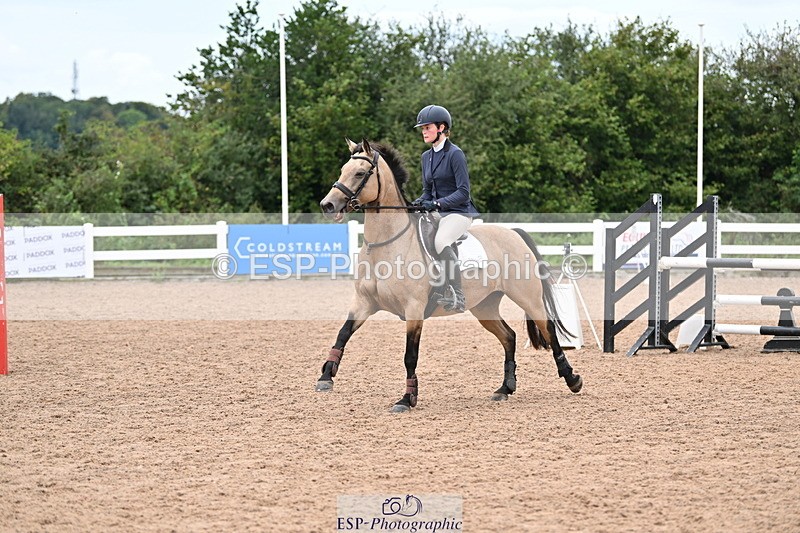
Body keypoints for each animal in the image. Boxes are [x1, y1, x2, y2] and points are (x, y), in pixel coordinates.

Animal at [317, 138, 583, 412]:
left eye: (360, 173)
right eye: (342, 170)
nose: (328, 205)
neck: (387, 245)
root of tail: (513, 233)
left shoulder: (414, 309)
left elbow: (410, 356)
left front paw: (407, 399)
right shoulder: (364, 302)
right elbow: (342, 334)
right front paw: (326, 376)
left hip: (527, 298)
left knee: (548, 329)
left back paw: (572, 379)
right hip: (484, 306)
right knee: (509, 336)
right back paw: (505, 388)